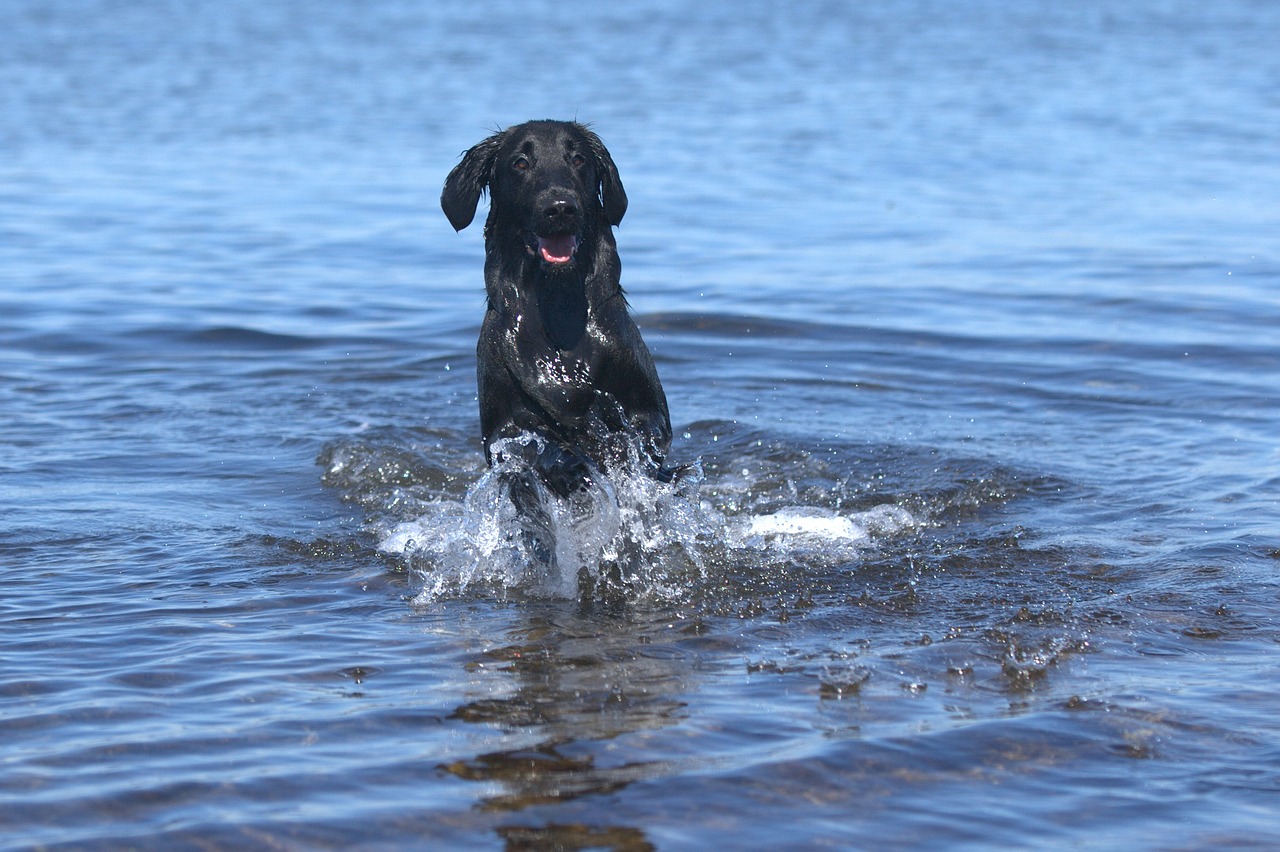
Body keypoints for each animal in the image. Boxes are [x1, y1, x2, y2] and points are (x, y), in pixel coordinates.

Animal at [442, 117, 670, 491]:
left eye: (578, 159)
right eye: (520, 163)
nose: (560, 208)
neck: (560, 310)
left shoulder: (648, 406)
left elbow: (642, 433)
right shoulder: (502, 428)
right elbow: (531, 444)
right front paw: (568, 460)